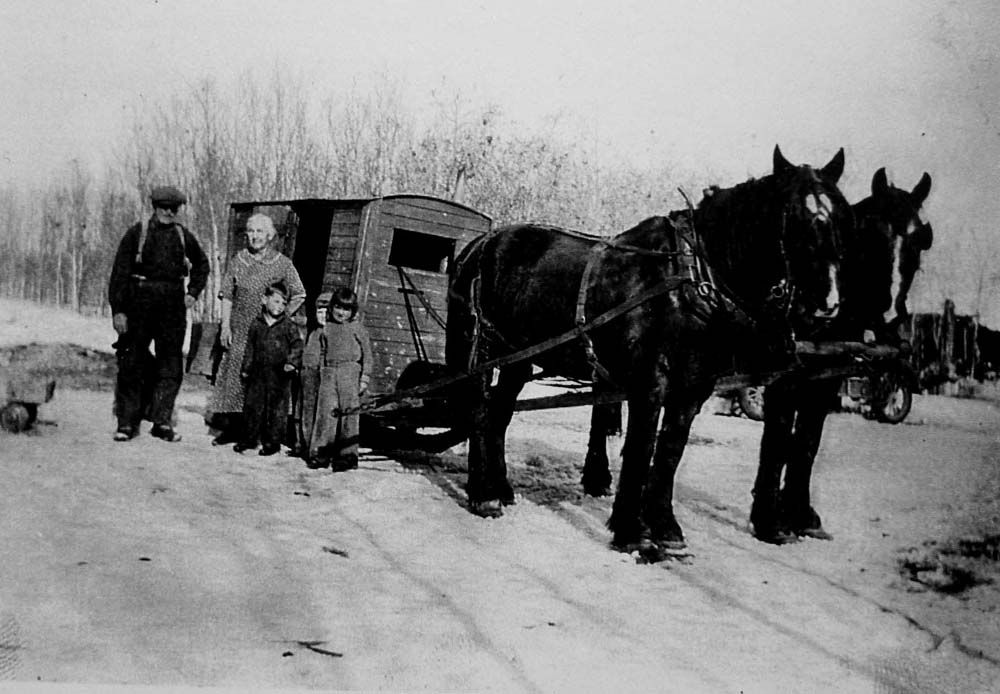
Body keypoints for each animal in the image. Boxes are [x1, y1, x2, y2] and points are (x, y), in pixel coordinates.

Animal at [446, 145, 852, 560]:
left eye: (842, 217)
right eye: (795, 218)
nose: (828, 304)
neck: (688, 281)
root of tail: (480, 244)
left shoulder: (693, 388)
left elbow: (670, 452)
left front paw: (666, 529)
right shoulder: (649, 381)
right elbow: (641, 448)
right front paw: (631, 531)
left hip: (518, 359)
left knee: (500, 412)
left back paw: (501, 488)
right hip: (481, 349)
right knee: (479, 409)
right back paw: (483, 495)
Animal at [752, 167, 936, 544]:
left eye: (918, 240)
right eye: (873, 233)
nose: (889, 314)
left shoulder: (825, 381)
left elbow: (808, 441)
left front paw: (800, 513)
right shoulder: (784, 378)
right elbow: (778, 437)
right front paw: (768, 520)